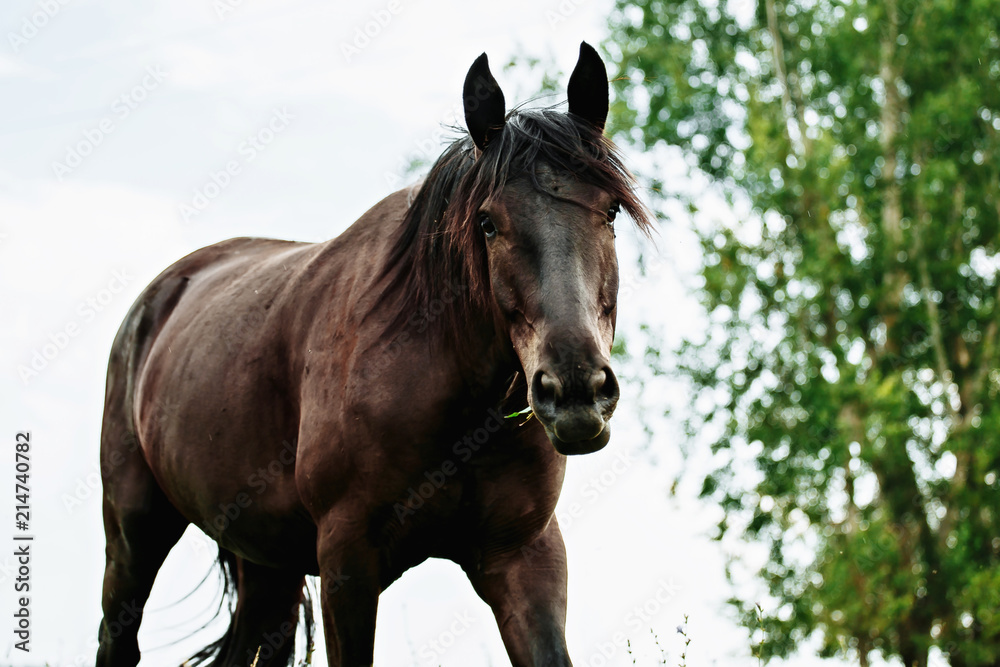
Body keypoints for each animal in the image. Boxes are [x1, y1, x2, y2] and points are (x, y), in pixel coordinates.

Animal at [97, 43, 652, 667]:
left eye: (610, 213)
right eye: (487, 223)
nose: (576, 391)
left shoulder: (525, 557)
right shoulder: (348, 563)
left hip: (267, 565)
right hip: (134, 533)